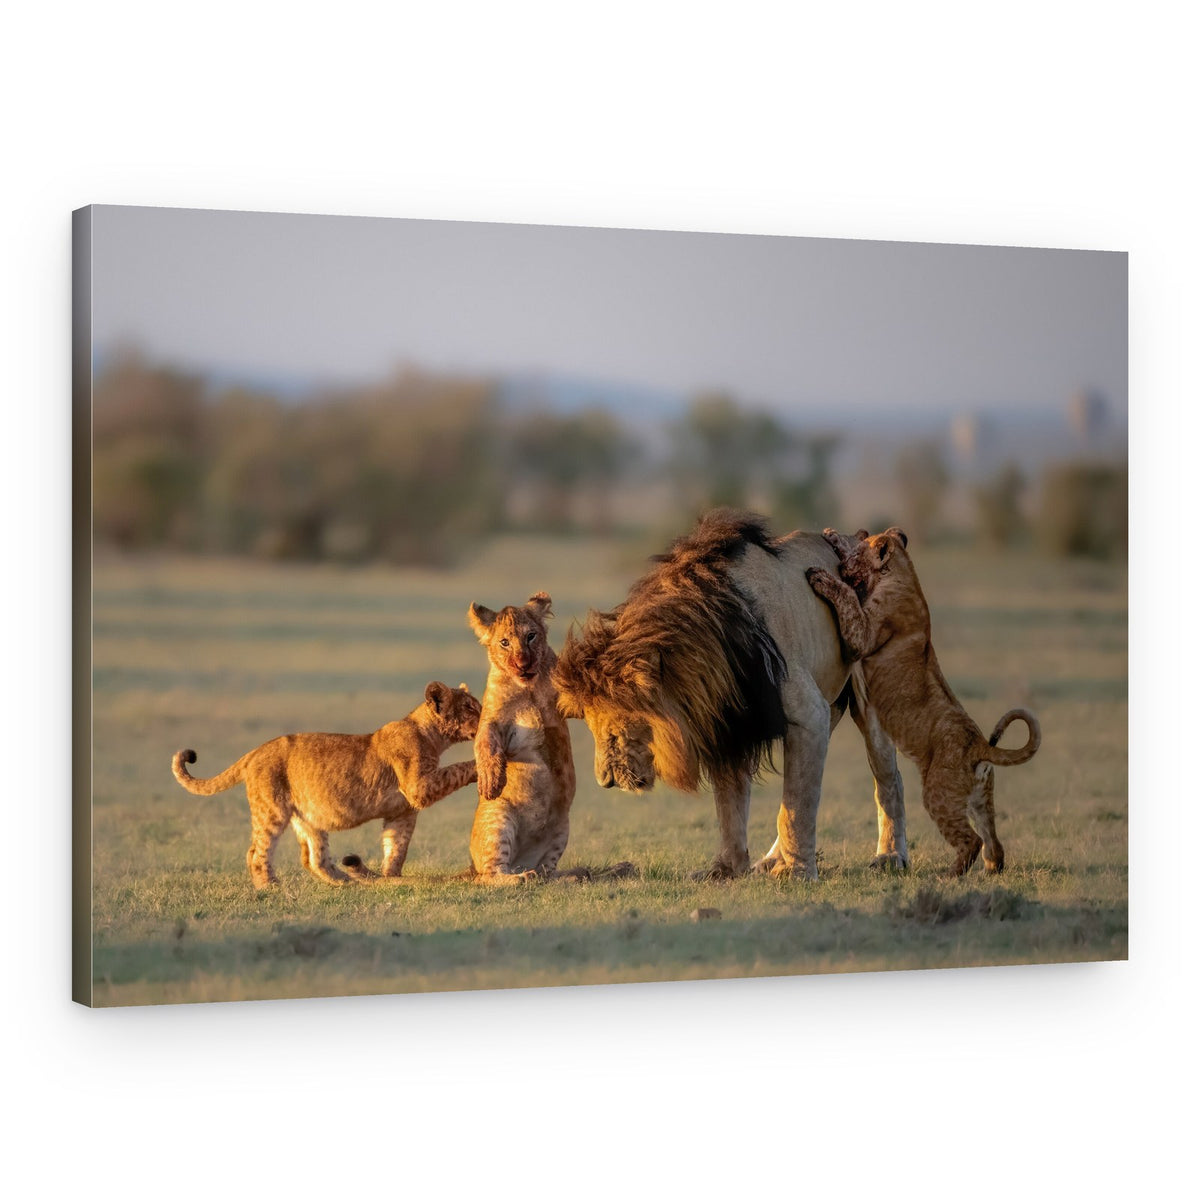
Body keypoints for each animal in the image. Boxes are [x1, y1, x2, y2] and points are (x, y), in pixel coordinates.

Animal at [171, 682, 482, 888]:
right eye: (469, 708)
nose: (486, 717)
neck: (431, 736)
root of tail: (254, 751)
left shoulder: (402, 812)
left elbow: (396, 847)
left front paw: (389, 877)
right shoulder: (419, 788)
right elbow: (456, 770)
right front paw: (482, 765)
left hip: (308, 816)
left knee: (313, 859)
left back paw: (347, 882)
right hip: (272, 810)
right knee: (257, 852)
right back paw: (270, 887)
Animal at [466, 592, 577, 884]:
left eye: (531, 636)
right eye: (505, 643)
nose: (523, 664)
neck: (529, 687)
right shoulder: (492, 719)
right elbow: (486, 743)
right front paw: (491, 781)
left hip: (562, 828)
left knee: (547, 870)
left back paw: (565, 877)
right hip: (499, 821)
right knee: (489, 876)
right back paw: (520, 878)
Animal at [551, 509, 907, 880]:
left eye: (612, 732)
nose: (604, 781)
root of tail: (862, 539)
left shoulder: (809, 715)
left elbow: (795, 805)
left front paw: (797, 870)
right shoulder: (726, 718)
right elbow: (730, 805)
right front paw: (726, 869)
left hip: (868, 686)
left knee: (889, 777)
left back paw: (890, 856)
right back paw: (771, 860)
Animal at [806, 527, 1041, 874]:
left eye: (856, 557)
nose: (842, 565)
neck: (904, 573)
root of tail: (980, 747)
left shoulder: (864, 632)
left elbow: (847, 596)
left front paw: (821, 576)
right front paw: (832, 535)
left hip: (938, 793)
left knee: (972, 840)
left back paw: (950, 875)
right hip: (980, 799)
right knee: (993, 840)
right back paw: (991, 869)